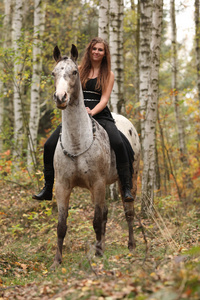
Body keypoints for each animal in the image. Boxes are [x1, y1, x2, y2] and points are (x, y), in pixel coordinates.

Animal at [50, 44, 141, 270]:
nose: (60, 97)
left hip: (130, 179)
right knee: (106, 213)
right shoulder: (62, 186)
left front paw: (98, 254)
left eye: (74, 72)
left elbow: (96, 220)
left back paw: (131, 246)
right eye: (54, 73)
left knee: (128, 212)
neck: (77, 142)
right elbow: (62, 225)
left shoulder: (98, 183)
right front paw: (57, 262)